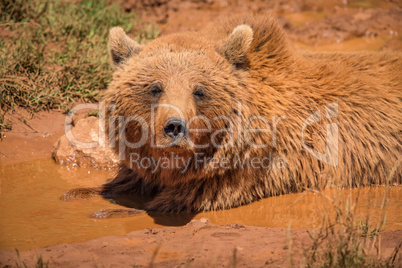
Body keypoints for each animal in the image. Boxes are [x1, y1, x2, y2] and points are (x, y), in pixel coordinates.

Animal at [64, 15, 400, 214]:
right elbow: (122, 182)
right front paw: (77, 193)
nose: (174, 127)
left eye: (199, 90)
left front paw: (115, 210)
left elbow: (168, 202)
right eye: (155, 88)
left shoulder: (248, 174)